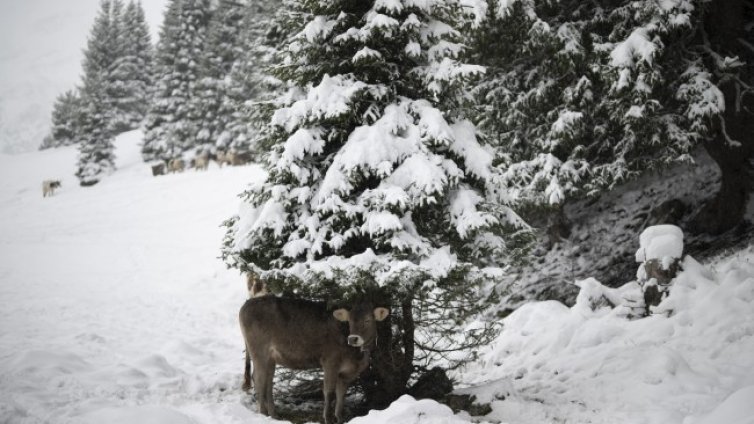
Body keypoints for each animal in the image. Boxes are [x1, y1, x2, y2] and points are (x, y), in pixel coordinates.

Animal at [239, 296, 388, 422]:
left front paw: (340, 418)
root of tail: (246, 304)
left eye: (367, 320)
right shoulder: (330, 362)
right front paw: (328, 419)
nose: (353, 339)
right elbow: (329, 393)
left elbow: (341, 396)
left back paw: (274, 415)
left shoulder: (346, 374)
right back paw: (263, 414)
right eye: (350, 321)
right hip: (259, 351)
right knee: (258, 378)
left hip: (270, 358)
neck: (357, 357)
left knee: (268, 381)